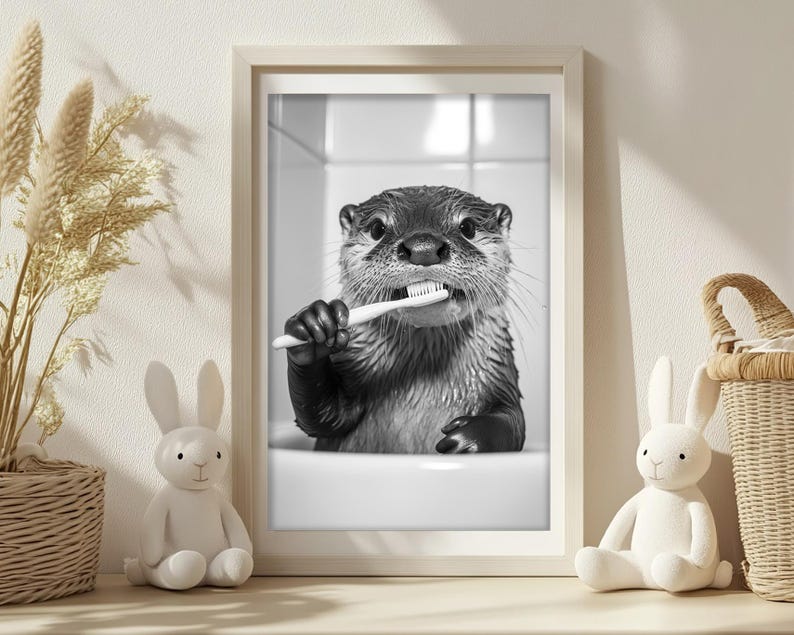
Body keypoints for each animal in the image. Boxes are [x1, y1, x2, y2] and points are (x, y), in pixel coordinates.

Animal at [283, 185, 525, 454]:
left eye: (468, 227)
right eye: (378, 228)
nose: (423, 248)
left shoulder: (499, 374)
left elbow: (512, 422)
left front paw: (468, 439)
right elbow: (323, 417)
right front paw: (313, 326)